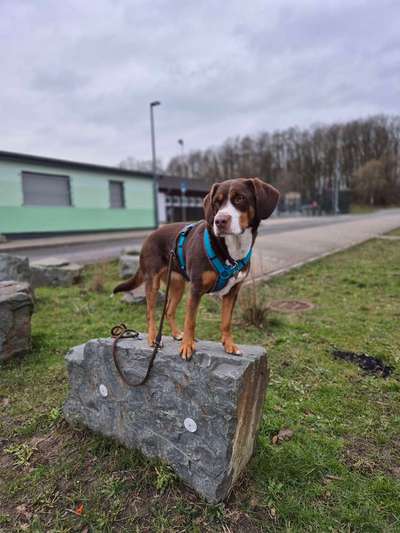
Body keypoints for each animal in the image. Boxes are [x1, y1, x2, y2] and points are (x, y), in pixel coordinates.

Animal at [114, 177, 280, 360]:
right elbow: (190, 321)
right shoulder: (196, 289)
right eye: (216, 203)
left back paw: (176, 334)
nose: (219, 221)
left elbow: (226, 322)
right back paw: (152, 338)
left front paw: (229, 344)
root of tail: (149, 236)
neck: (231, 250)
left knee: (169, 311)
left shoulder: (232, 292)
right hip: (153, 282)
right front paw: (187, 346)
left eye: (240, 198)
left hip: (177, 285)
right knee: (150, 312)